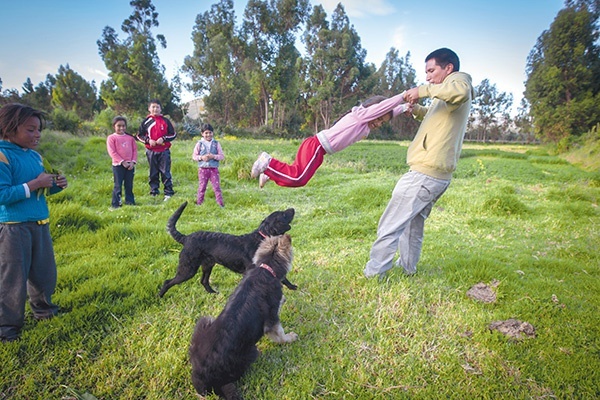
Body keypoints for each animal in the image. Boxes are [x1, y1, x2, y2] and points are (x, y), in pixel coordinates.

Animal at [158, 202, 296, 296]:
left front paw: (292, 287)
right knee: (167, 282)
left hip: (207, 265)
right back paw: (160, 296)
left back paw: (212, 293)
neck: (261, 237)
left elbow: (284, 278)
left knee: (204, 281)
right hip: (187, 269)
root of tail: (186, 238)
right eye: (283, 214)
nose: (293, 208)